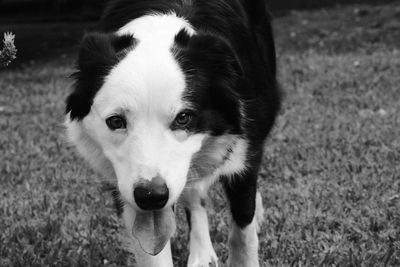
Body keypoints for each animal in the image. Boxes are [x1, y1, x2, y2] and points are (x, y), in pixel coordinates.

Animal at [65, 0, 278, 266]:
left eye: (183, 118)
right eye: (115, 121)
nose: (151, 196)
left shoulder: (244, 150)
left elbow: (243, 236)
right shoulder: (127, 188)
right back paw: (201, 254)